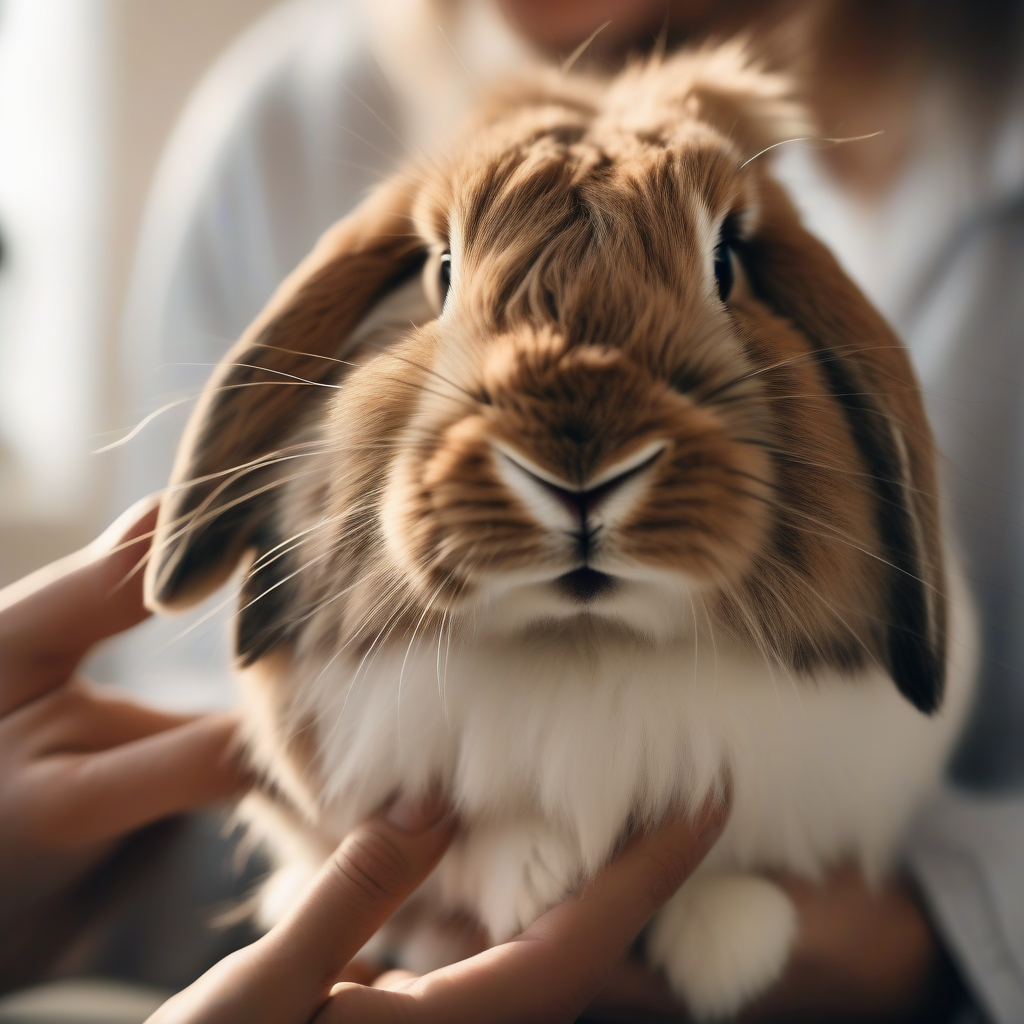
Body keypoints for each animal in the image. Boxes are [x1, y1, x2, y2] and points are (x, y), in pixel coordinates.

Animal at [145, 42, 976, 1020]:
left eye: (728, 260)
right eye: (439, 269)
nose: (580, 458)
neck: (583, 646)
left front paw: (729, 948)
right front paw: (535, 875)